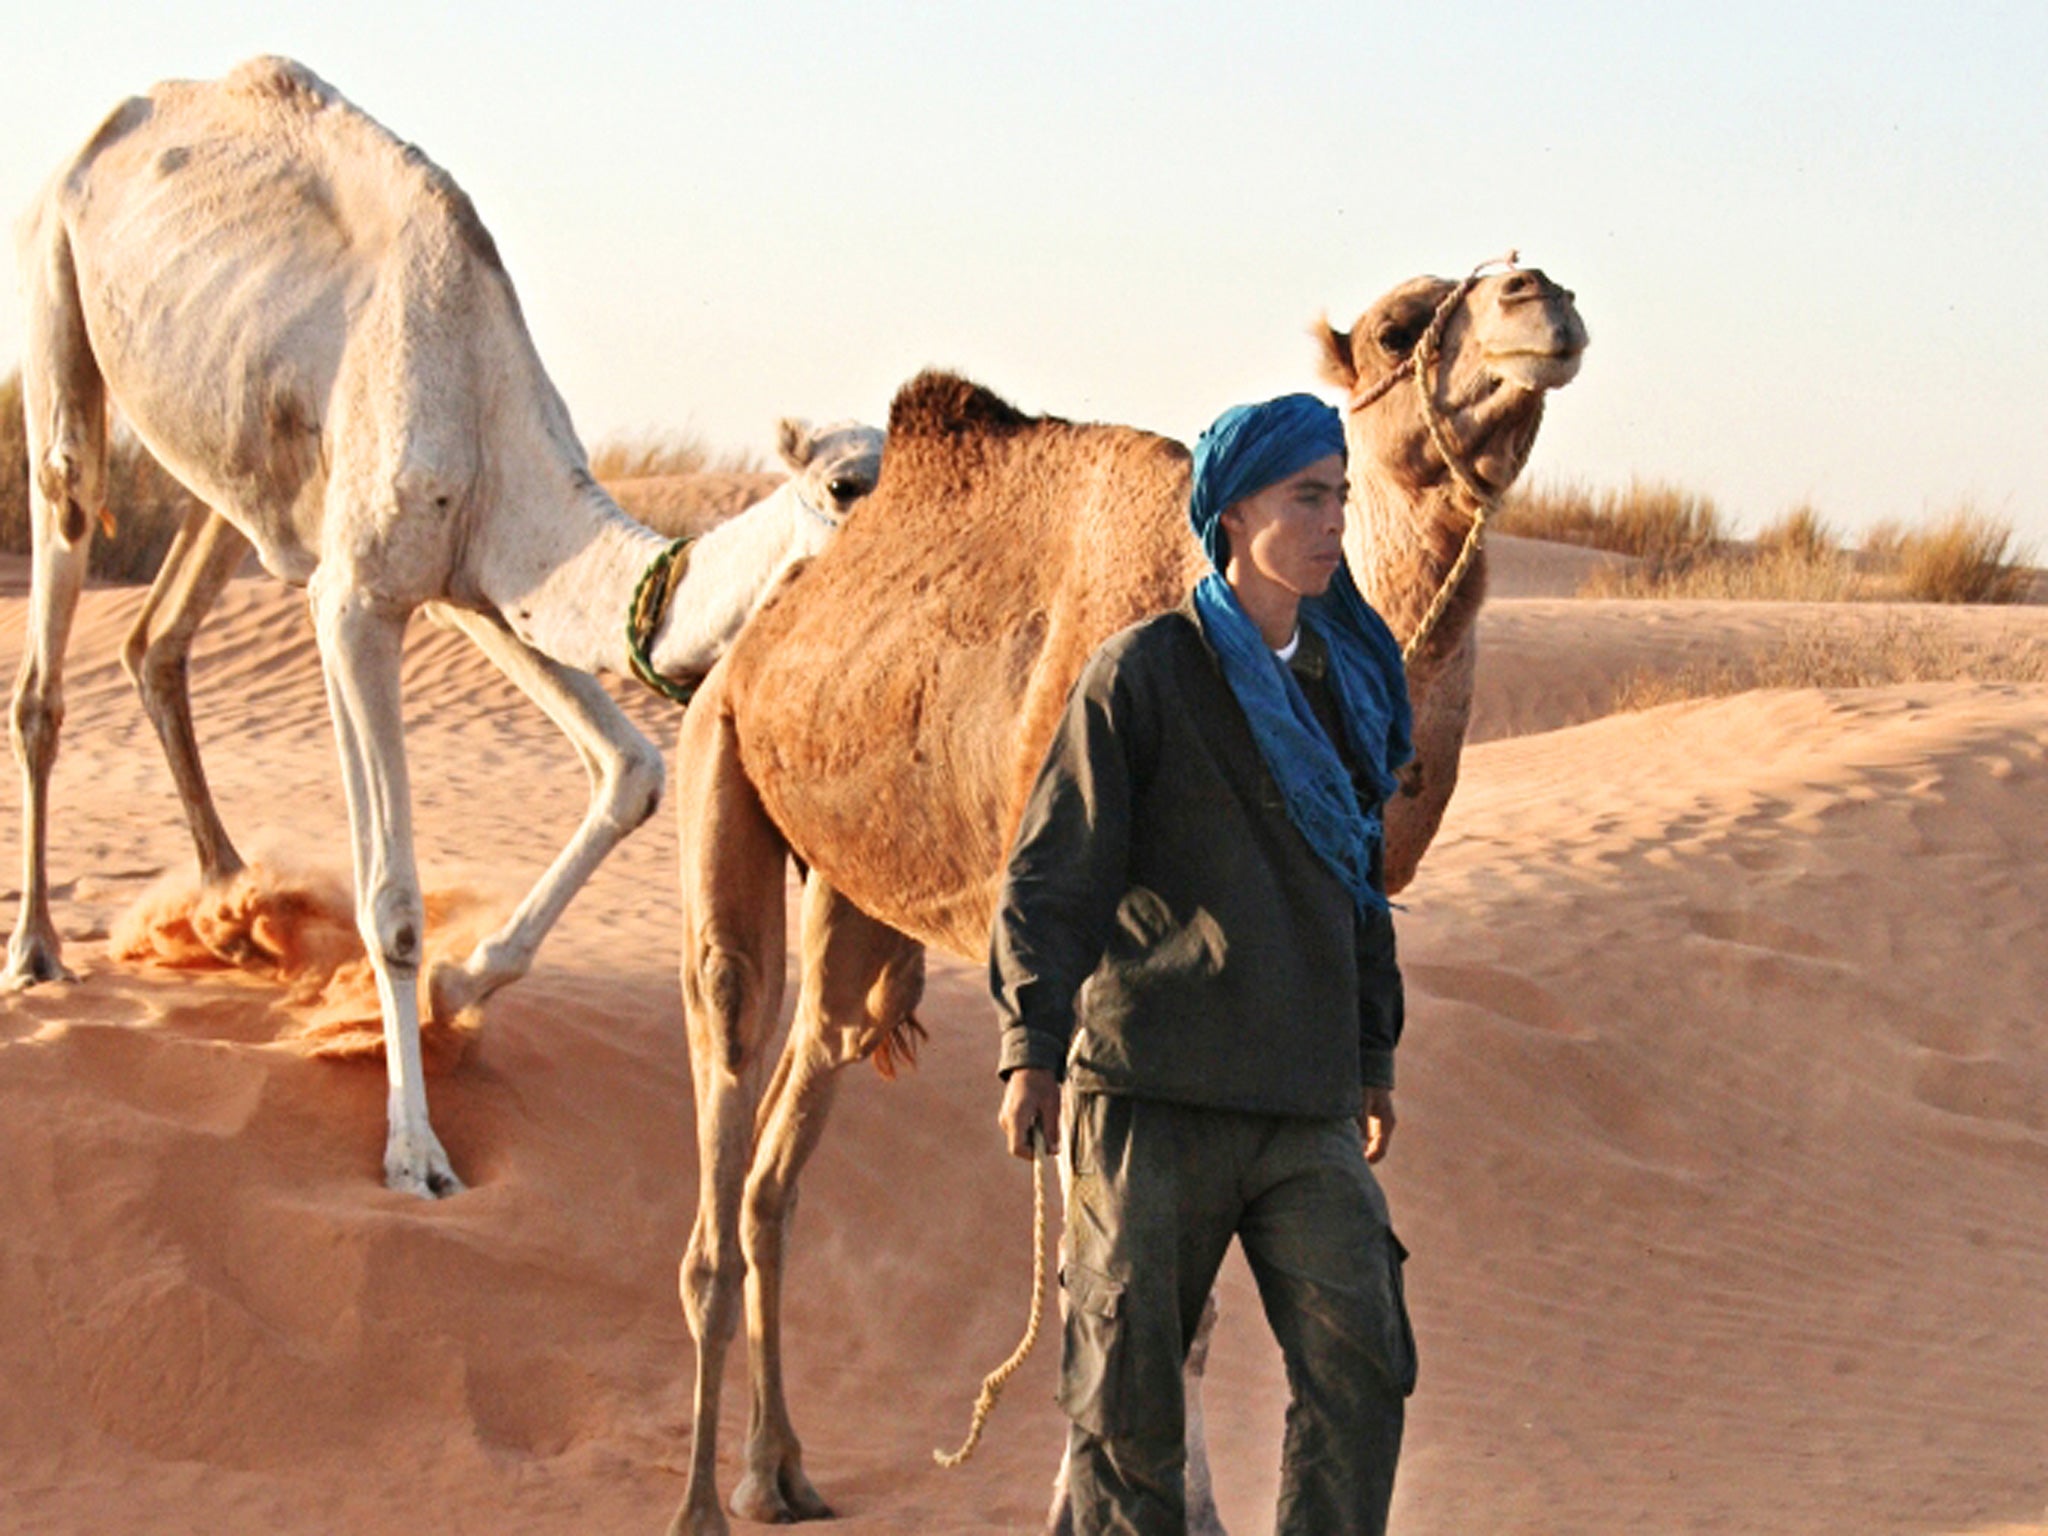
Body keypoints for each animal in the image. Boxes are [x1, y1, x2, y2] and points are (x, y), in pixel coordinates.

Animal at [5, 55, 821, 1198]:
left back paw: (230, 907)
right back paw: (38, 950)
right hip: (57, 295)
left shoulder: (481, 584)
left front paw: (458, 986)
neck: (489, 406)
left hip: (238, 455)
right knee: (57, 584)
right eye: (848, 483)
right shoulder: (357, 599)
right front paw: (415, 1152)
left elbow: (632, 772)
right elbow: (390, 898)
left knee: (155, 639)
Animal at [665, 262, 1586, 1533]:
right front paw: (1105, 1502)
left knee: (792, 1124)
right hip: (717, 756)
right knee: (727, 1048)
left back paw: (778, 1467)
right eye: (1400, 325)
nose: (1537, 294)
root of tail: (759, 638)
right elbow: (1107, 1278)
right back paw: (701, 1502)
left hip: (851, 896)